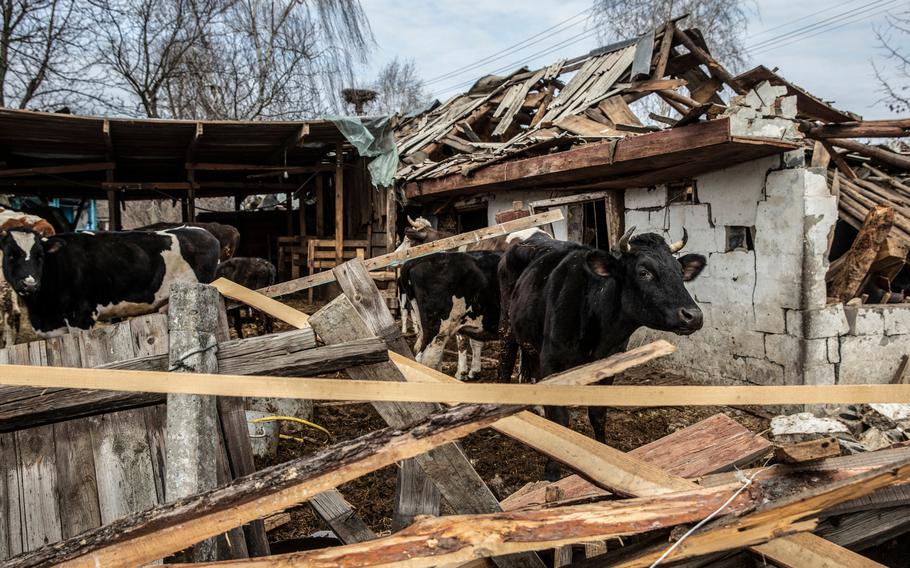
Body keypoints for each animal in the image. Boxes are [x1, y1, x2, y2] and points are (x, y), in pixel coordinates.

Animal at [502, 226, 708, 480]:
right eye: (643, 272)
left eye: (680, 272)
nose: (694, 316)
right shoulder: (552, 362)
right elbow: (559, 418)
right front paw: (552, 470)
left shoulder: (610, 363)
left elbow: (598, 414)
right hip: (506, 324)